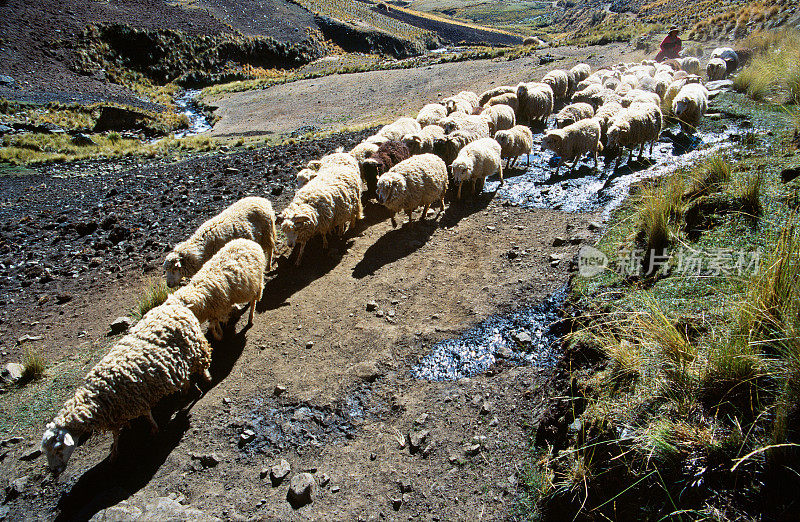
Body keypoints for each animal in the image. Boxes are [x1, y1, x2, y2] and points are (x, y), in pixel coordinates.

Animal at [41, 300, 211, 472]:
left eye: (58, 448)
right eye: (46, 451)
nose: (54, 471)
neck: (94, 397)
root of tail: (175, 305)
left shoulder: (136, 399)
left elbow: (147, 415)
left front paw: (154, 429)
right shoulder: (116, 412)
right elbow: (116, 434)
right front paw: (115, 453)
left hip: (196, 348)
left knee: (201, 366)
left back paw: (203, 383)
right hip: (181, 358)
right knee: (185, 376)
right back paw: (185, 390)